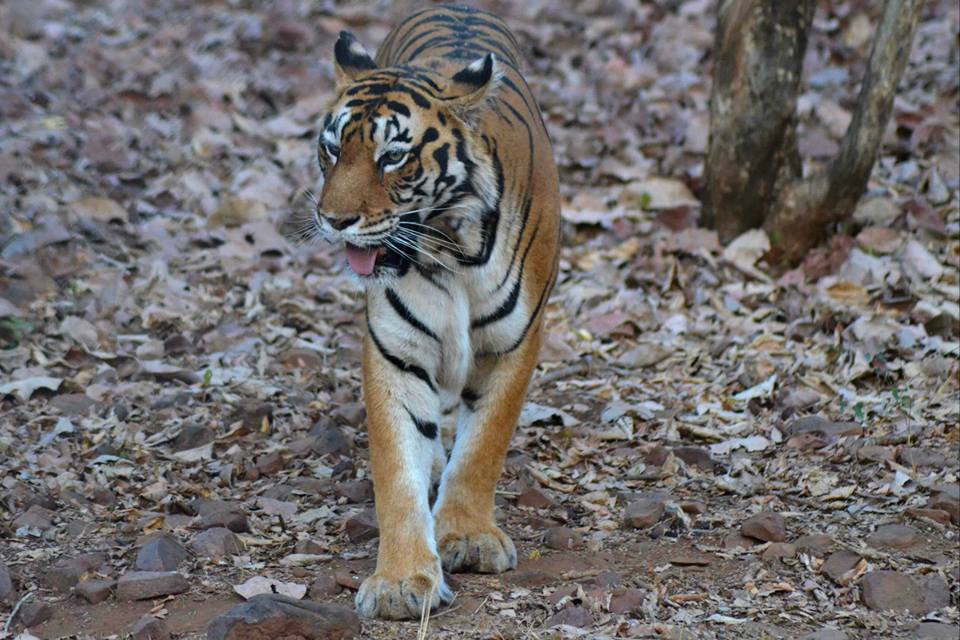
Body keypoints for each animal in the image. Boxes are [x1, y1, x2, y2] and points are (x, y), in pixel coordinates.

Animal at [309, 4, 560, 620]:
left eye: (393, 156)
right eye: (333, 149)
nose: (334, 219)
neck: (449, 243)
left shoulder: (514, 343)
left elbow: (483, 445)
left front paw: (467, 536)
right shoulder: (396, 351)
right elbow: (396, 468)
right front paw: (401, 581)